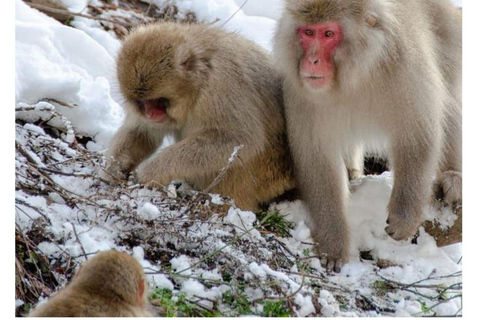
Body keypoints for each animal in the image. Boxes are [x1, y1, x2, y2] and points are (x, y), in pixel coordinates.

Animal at [103, 22, 294, 211]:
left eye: (158, 101)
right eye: (142, 102)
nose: (150, 114)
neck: (200, 79)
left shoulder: (223, 84)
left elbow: (239, 138)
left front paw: (152, 170)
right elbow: (143, 132)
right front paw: (115, 167)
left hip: (263, 177)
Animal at [274, 0, 462, 272]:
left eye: (328, 34)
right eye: (308, 32)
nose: (312, 61)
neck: (356, 76)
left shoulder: (406, 69)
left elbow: (418, 137)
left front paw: (404, 216)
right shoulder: (302, 93)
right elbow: (319, 162)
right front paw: (333, 243)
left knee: (449, 101)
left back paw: (454, 177)